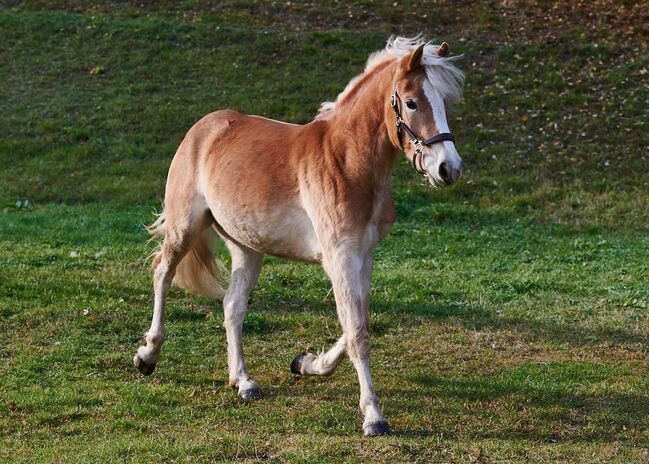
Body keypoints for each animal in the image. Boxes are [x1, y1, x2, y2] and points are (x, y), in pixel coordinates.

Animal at [134, 35, 464, 436]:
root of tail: (204, 127)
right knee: (163, 273)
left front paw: (307, 364)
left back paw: (242, 381)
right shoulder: (339, 257)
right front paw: (373, 415)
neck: (348, 162)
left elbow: (358, 322)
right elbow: (357, 333)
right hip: (185, 227)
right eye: (413, 102)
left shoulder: (363, 256)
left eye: (444, 102)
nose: (448, 168)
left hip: (247, 249)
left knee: (232, 305)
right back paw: (147, 355)